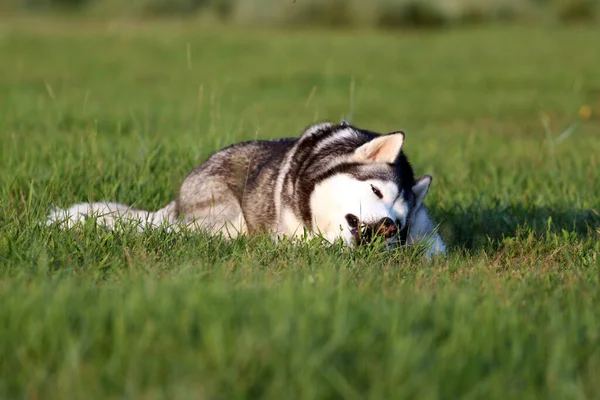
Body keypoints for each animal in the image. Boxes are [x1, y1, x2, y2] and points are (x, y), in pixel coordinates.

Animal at [48, 120, 446, 256]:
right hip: (227, 218)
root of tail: (176, 201)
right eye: (377, 192)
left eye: (402, 220)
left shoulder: (425, 226)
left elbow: (434, 247)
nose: (388, 227)